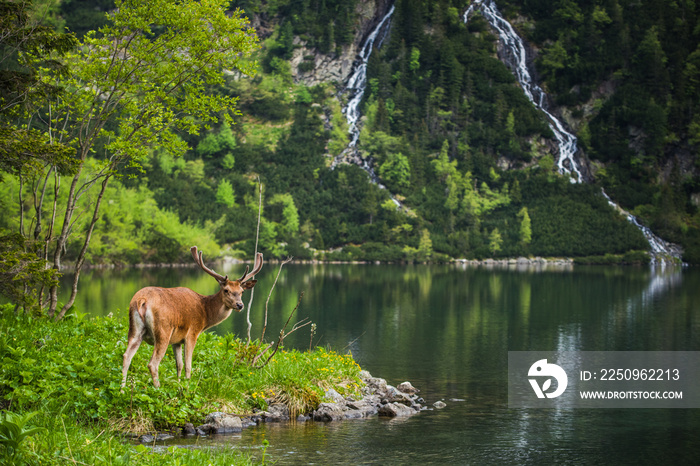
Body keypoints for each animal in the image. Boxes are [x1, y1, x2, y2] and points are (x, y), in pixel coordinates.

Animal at [120, 246, 262, 388]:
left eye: (241, 291)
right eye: (226, 290)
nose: (240, 305)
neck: (205, 313)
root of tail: (142, 300)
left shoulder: (176, 340)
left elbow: (179, 365)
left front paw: (178, 384)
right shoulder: (192, 333)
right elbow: (188, 365)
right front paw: (187, 386)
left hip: (134, 329)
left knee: (126, 356)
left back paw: (122, 389)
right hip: (163, 331)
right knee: (152, 363)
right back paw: (157, 388)